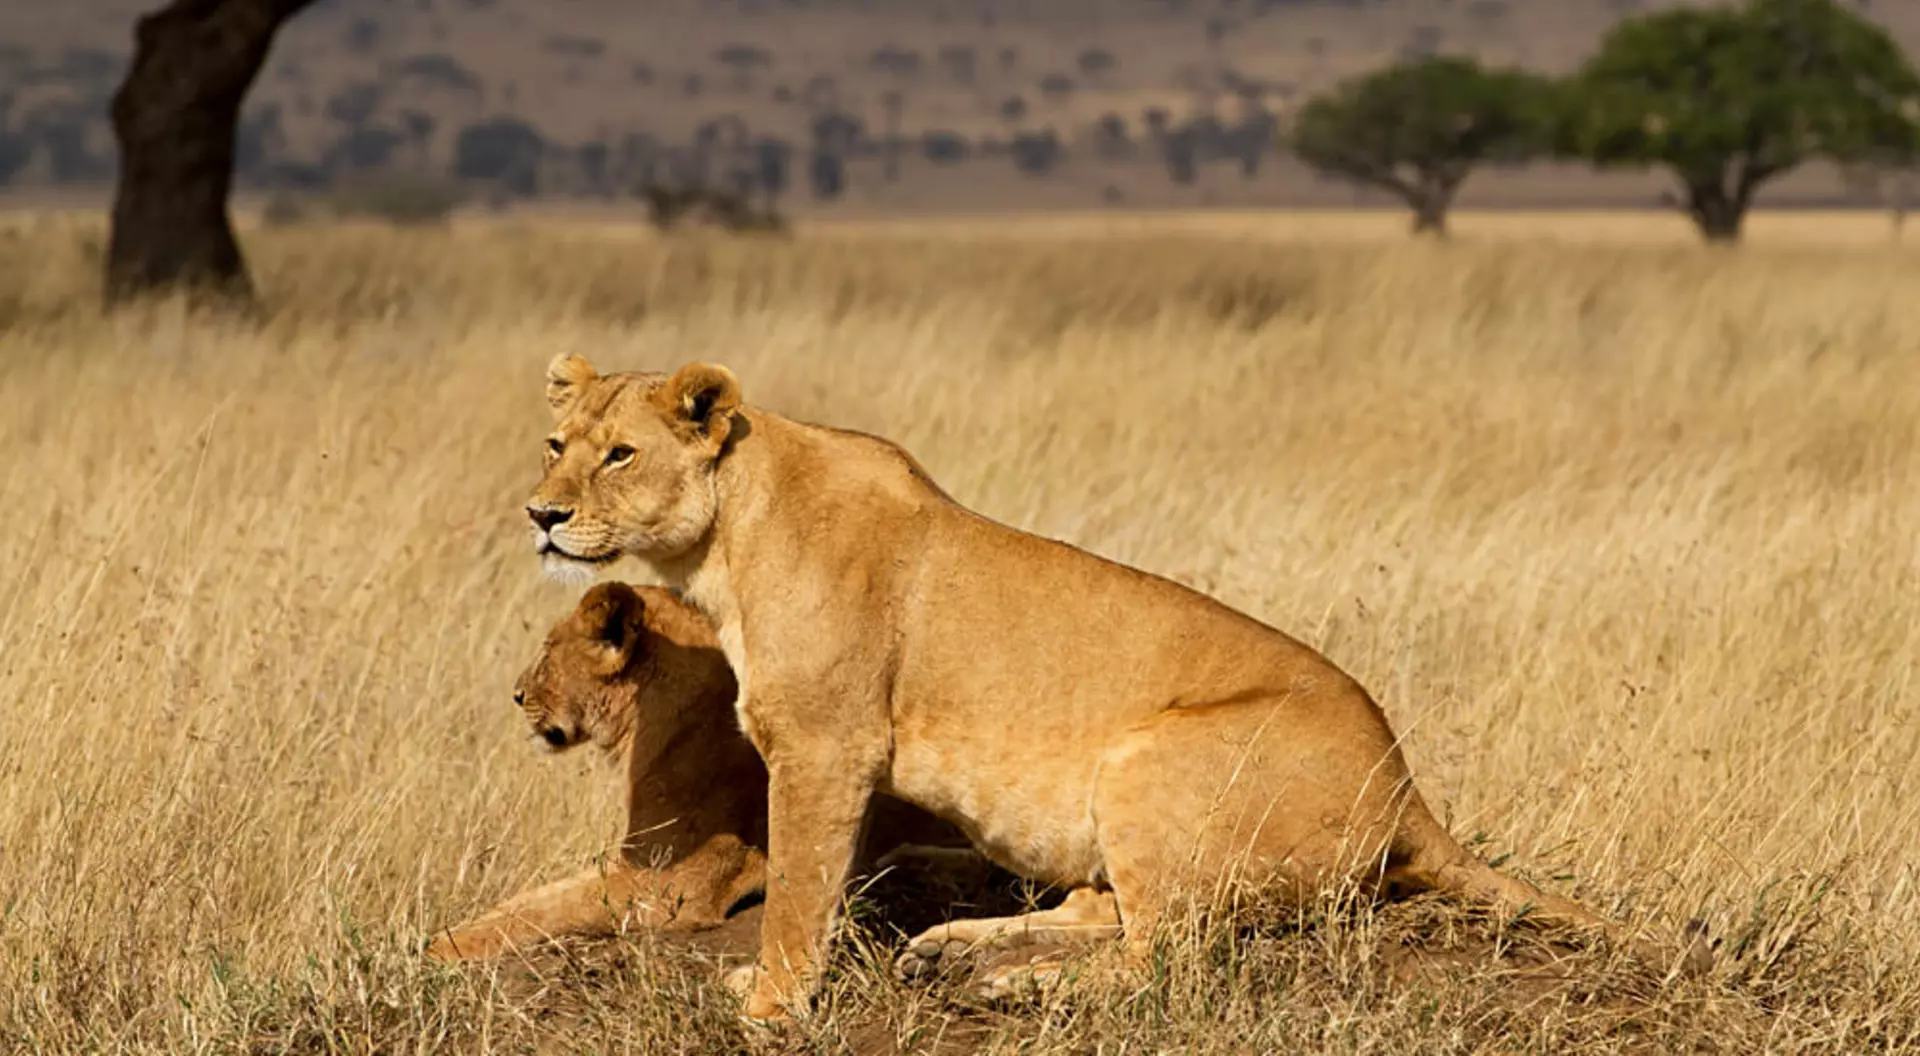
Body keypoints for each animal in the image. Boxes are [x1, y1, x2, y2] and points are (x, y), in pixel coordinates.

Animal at [426, 580, 978, 962]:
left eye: (546, 652)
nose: (516, 695)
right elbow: (535, 898)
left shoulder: (670, 888)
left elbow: (551, 910)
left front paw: (443, 947)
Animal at [524, 356, 1679, 1022]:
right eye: (555, 444)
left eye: (620, 455)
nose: (540, 514)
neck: (723, 543)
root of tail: (1407, 792)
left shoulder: (823, 747)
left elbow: (802, 894)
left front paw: (770, 1003)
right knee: (1106, 910)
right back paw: (954, 953)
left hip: (1149, 754)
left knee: (1166, 956)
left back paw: (1013, 984)